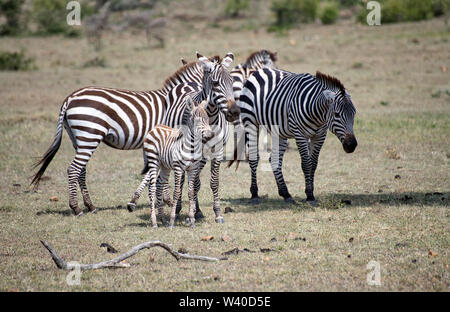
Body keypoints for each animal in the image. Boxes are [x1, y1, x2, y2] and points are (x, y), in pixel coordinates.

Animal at [125, 96, 212, 228]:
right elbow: (176, 192)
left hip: (164, 166)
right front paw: (172, 221)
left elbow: (191, 192)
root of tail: (156, 127)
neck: (191, 147)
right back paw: (154, 222)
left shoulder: (193, 169)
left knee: (159, 186)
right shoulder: (178, 168)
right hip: (153, 162)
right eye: (197, 120)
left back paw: (162, 220)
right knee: (152, 188)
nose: (210, 135)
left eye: (207, 119)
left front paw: (192, 221)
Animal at [229, 67, 358, 206]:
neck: (317, 114)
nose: (351, 145)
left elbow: (314, 164)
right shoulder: (300, 135)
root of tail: (260, 70)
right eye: (336, 114)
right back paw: (254, 194)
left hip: (279, 131)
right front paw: (310, 196)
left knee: (274, 159)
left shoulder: (320, 136)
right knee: (254, 158)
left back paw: (285, 193)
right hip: (251, 123)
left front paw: (310, 191)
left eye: (354, 113)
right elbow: (306, 164)